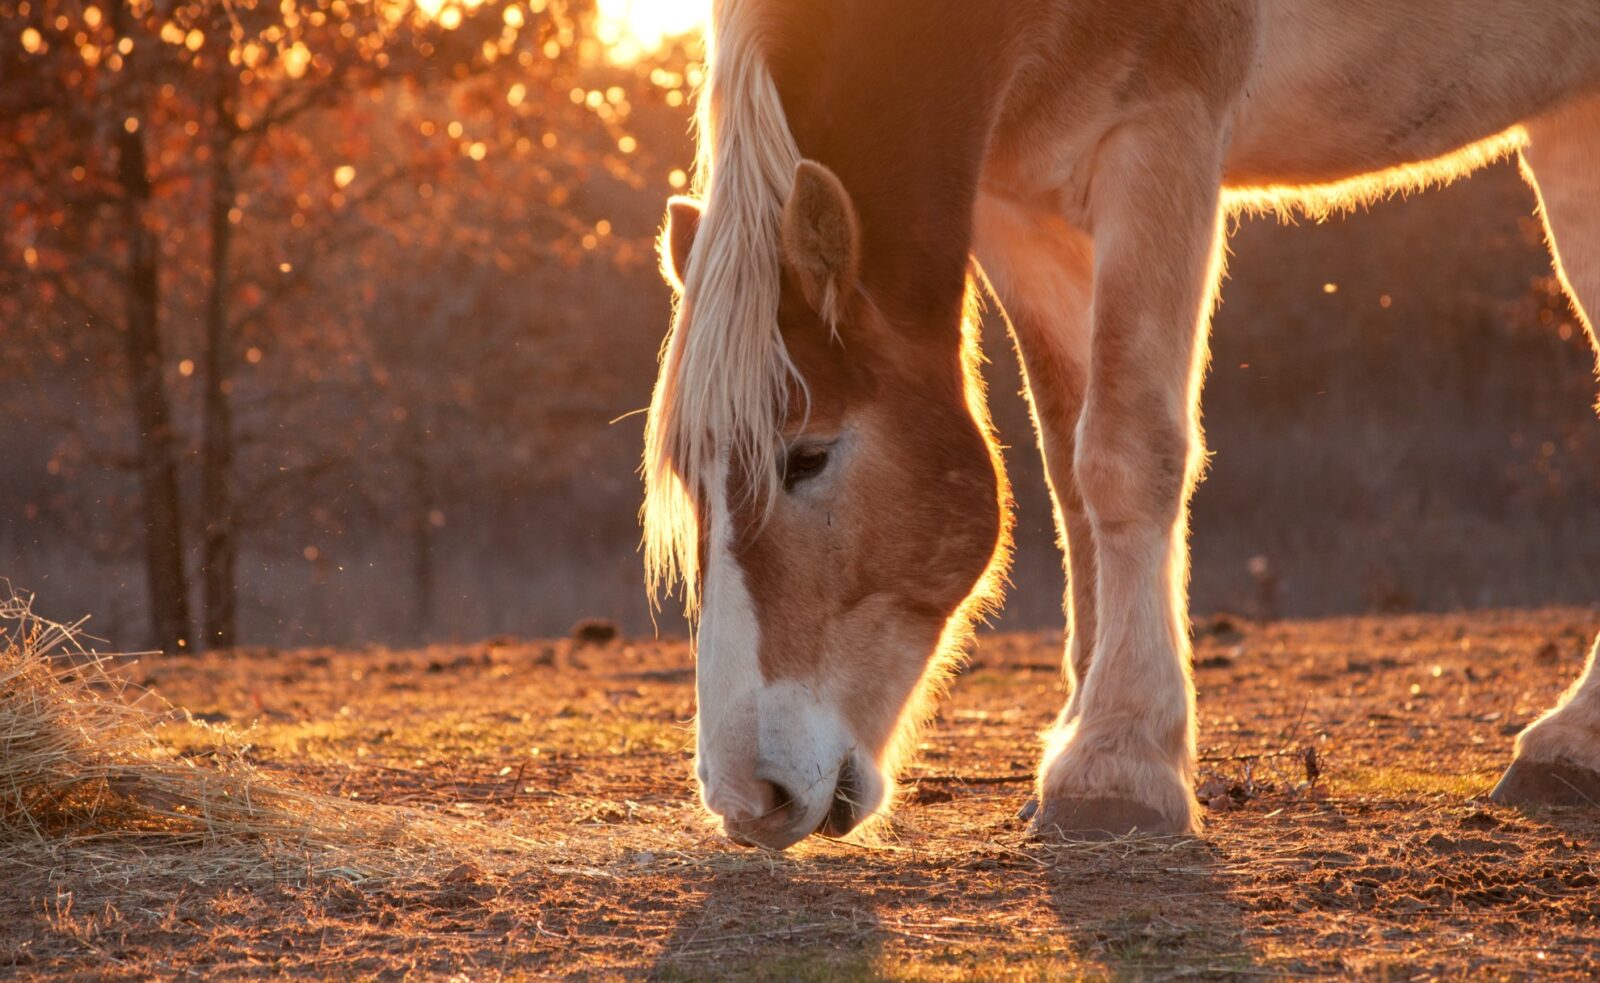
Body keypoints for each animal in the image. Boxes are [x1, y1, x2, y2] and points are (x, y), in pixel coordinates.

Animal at [643, 0, 1600, 850]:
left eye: (805, 458)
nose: (747, 797)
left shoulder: (1159, 135)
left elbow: (1124, 451)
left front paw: (1116, 762)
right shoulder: (1017, 203)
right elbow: (1070, 465)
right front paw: (1081, 725)